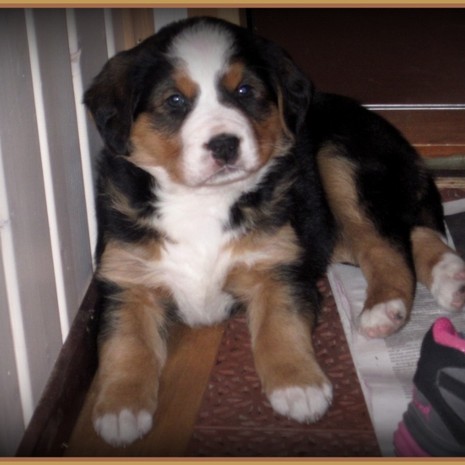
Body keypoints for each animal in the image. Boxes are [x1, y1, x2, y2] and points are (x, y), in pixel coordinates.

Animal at [84, 16, 465, 446]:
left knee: (386, 243)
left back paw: (387, 308)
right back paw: (451, 277)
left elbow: (279, 324)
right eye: (175, 101)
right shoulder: (125, 277)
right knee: (406, 231)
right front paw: (120, 408)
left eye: (245, 91)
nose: (225, 144)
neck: (202, 200)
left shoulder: (278, 265)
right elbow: (125, 341)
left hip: (340, 159)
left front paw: (298, 385)